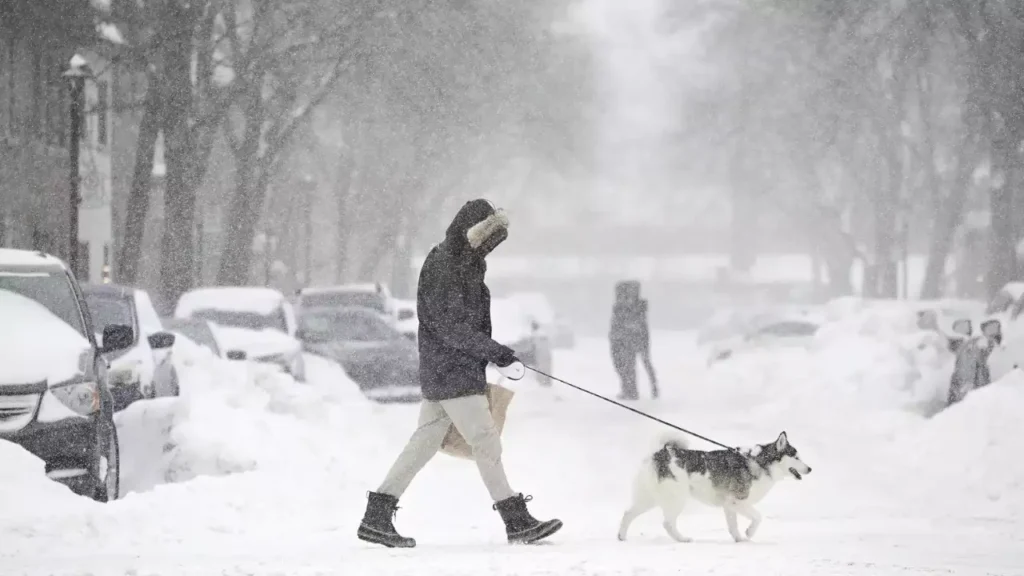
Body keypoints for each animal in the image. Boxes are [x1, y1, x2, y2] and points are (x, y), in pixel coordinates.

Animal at [618, 432, 811, 541]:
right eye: (796, 457)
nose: (810, 468)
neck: (759, 462)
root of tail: (660, 454)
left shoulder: (729, 505)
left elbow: (733, 526)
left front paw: (739, 539)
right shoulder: (738, 501)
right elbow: (758, 517)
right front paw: (749, 533)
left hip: (649, 498)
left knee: (628, 513)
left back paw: (622, 536)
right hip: (677, 499)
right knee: (667, 523)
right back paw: (682, 539)